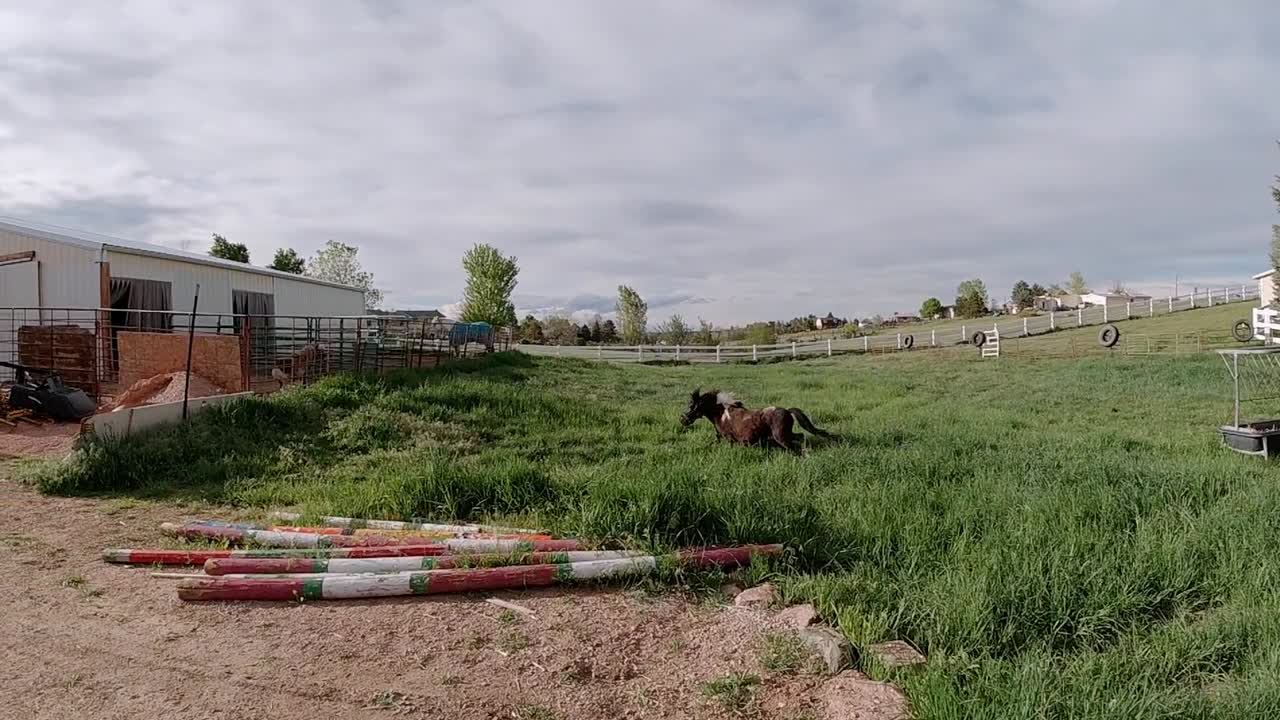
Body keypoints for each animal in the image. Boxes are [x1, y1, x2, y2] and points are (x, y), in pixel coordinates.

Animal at [680, 388, 832, 454]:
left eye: (692, 406)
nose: (683, 420)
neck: (721, 414)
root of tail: (788, 411)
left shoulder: (729, 438)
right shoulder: (721, 438)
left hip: (781, 436)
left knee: (795, 444)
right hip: (785, 434)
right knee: (800, 437)